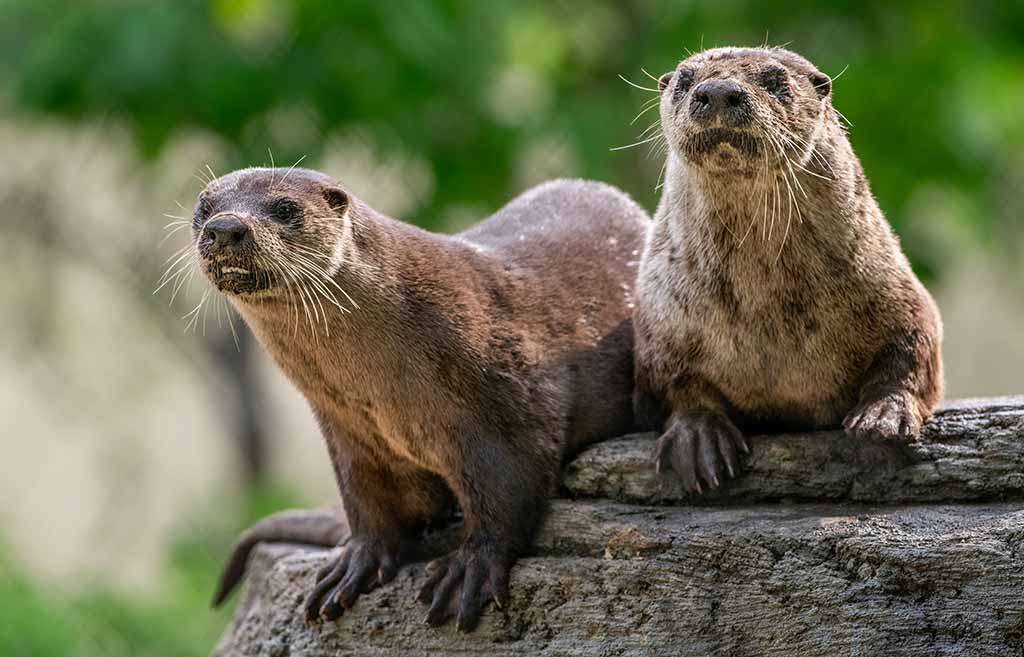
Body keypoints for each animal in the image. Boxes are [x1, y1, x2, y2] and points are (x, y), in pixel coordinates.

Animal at [193, 168, 648, 631]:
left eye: (285, 208)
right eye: (204, 208)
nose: (225, 228)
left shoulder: (510, 403)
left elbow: (509, 491)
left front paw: (470, 567)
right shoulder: (349, 431)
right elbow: (366, 500)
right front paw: (357, 559)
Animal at [634, 47, 943, 493]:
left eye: (775, 80)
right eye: (685, 79)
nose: (718, 90)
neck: (769, 320)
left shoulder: (900, 292)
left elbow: (914, 349)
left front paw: (884, 416)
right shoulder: (660, 320)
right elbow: (672, 381)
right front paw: (698, 436)